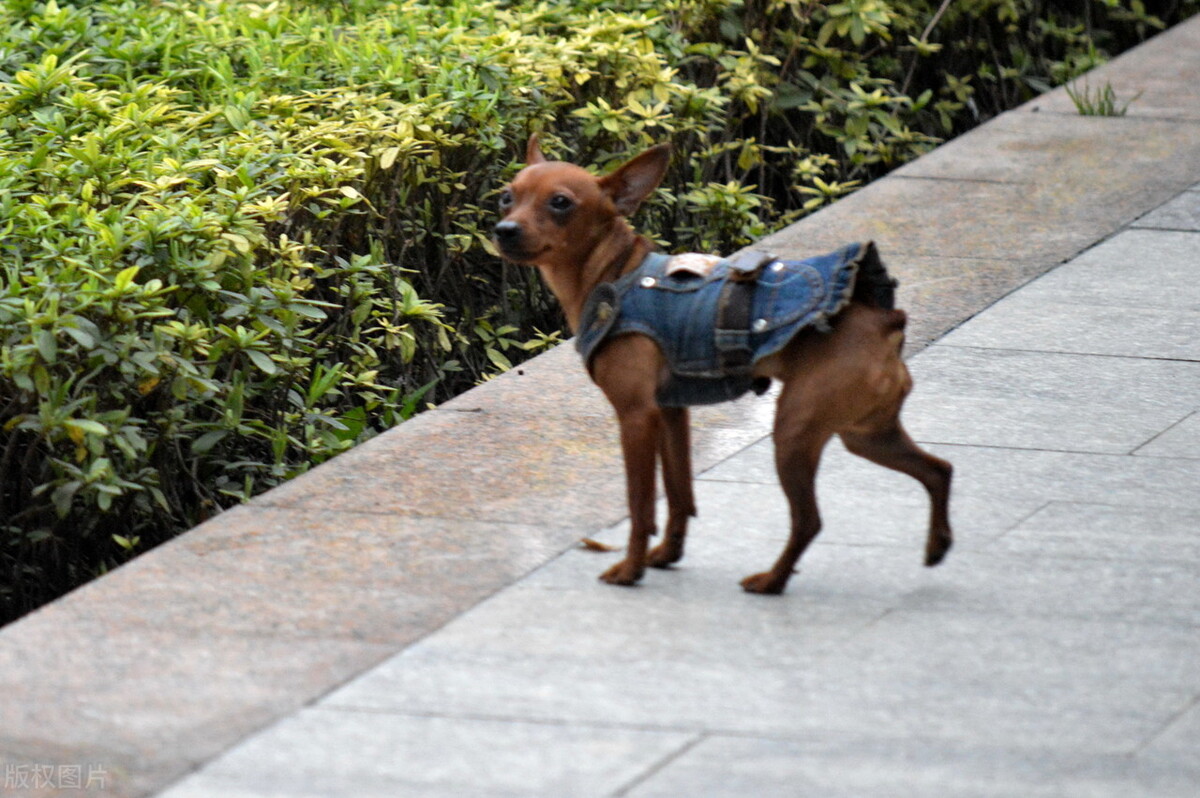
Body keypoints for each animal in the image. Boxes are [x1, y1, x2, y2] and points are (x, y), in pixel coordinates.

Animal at [492, 135, 950, 590]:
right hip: (866, 433)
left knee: (810, 520)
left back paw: (771, 581)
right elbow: (679, 492)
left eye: (560, 203)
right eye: (506, 197)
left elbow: (641, 503)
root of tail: (885, 321)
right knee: (939, 470)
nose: (504, 230)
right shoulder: (670, 412)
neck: (612, 274)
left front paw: (631, 569)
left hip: (795, 431)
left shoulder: (636, 417)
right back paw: (937, 545)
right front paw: (668, 554)